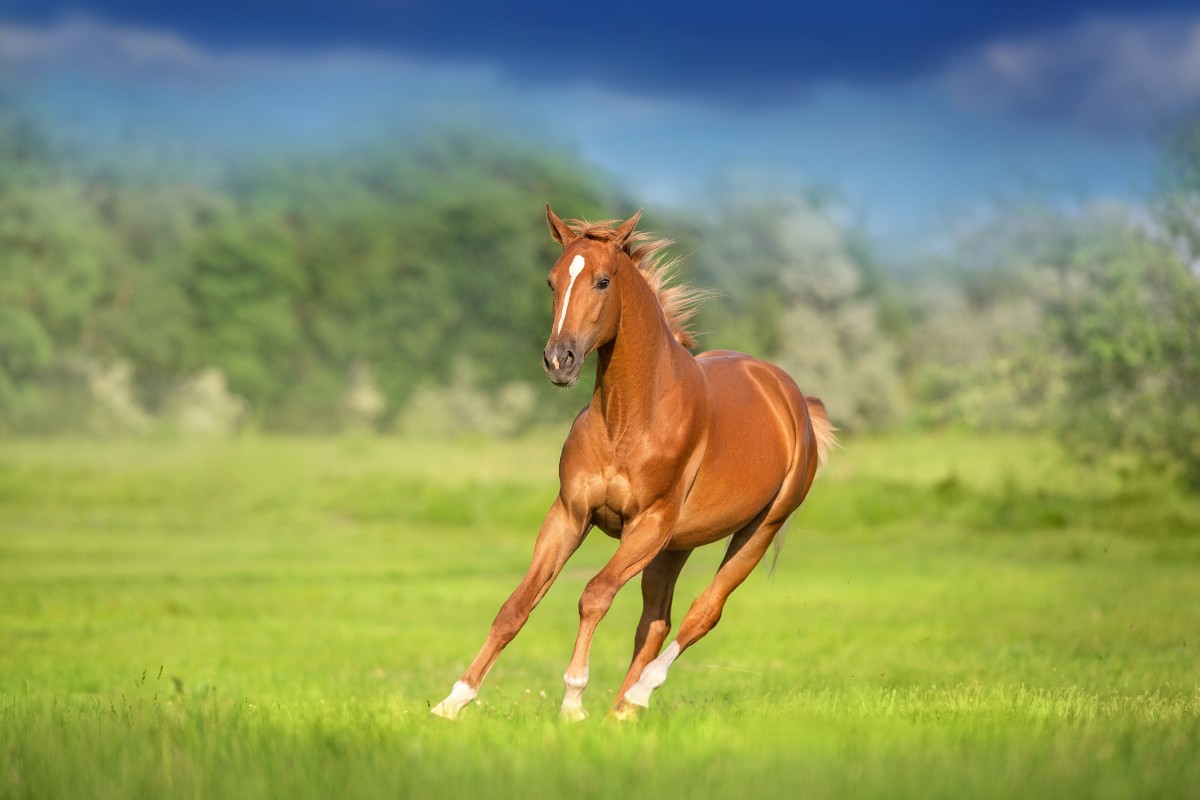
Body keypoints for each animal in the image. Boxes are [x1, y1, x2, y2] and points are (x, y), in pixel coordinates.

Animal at [432, 206, 835, 721]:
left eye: (603, 281)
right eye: (551, 280)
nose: (559, 360)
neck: (628, 420)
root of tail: (794, 399)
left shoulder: (647, 525)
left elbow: (595, 595)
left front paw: (572, 701)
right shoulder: (570, 514)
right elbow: (516, 607)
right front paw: (453, 700)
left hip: (758, 529)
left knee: (703, 612)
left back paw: (637, 697)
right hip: (676, 545)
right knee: (656, 622)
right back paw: (619, 714)